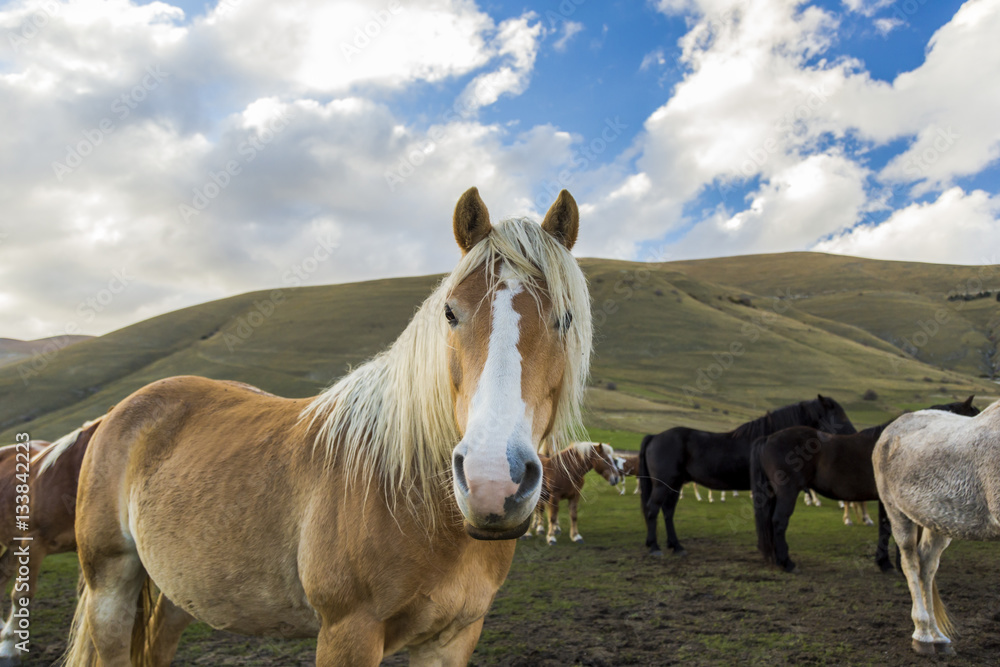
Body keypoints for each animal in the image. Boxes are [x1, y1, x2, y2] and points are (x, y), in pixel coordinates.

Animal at [63, 187, 593, 666]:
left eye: (566, 317)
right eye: (450, 312)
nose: (492, 482)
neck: (408, 491)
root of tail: (120, 411)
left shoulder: (453, 637)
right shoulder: (347, 632)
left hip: (179, 590)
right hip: (111, 584)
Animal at [639, 395, 856, 556]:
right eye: (841, 418)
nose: (854, 437)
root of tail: (655, 437)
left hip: (674, 485)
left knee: (668, 511)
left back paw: (676, 546)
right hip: (662, 485)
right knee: (652, 509)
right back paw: (655, 548)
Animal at [751, 397, 979, 573]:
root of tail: (768, 438)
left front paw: (886, 562)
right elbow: (891, 530)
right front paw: (893, 564)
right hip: (787, 493)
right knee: (779, 522)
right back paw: (786, 563)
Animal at [873, 399, 1000, 656]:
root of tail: (890, 430)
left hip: (937, 523)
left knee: (927, 566)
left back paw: (937, 636)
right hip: (897, 514)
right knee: (910, 563)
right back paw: (922, 635)